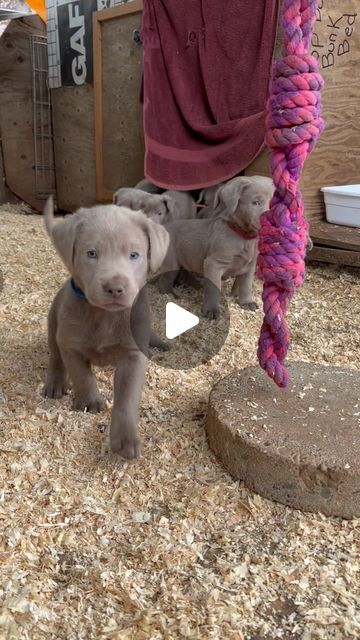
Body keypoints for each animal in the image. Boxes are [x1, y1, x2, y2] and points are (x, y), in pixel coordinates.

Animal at [41, 198, 169, 458]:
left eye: (134, 255)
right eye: (91, 253)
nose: (115, 287)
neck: (105, 316)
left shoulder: (133, 355)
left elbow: (127, 397)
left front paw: (125, 439)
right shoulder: (71, 344)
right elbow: (81, 376)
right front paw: (90, 402)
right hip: (53, 324)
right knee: (56, 358)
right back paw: (55, 383)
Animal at [159, 176, 274, 318]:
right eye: (255, 203)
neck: (244, 237)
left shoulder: (249, 266)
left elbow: (246, 286)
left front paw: (246, 303)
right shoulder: (213, 264)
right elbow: (214, 290)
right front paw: (211, 310)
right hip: (171, 263)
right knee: (163, 282)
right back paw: (171, 296)